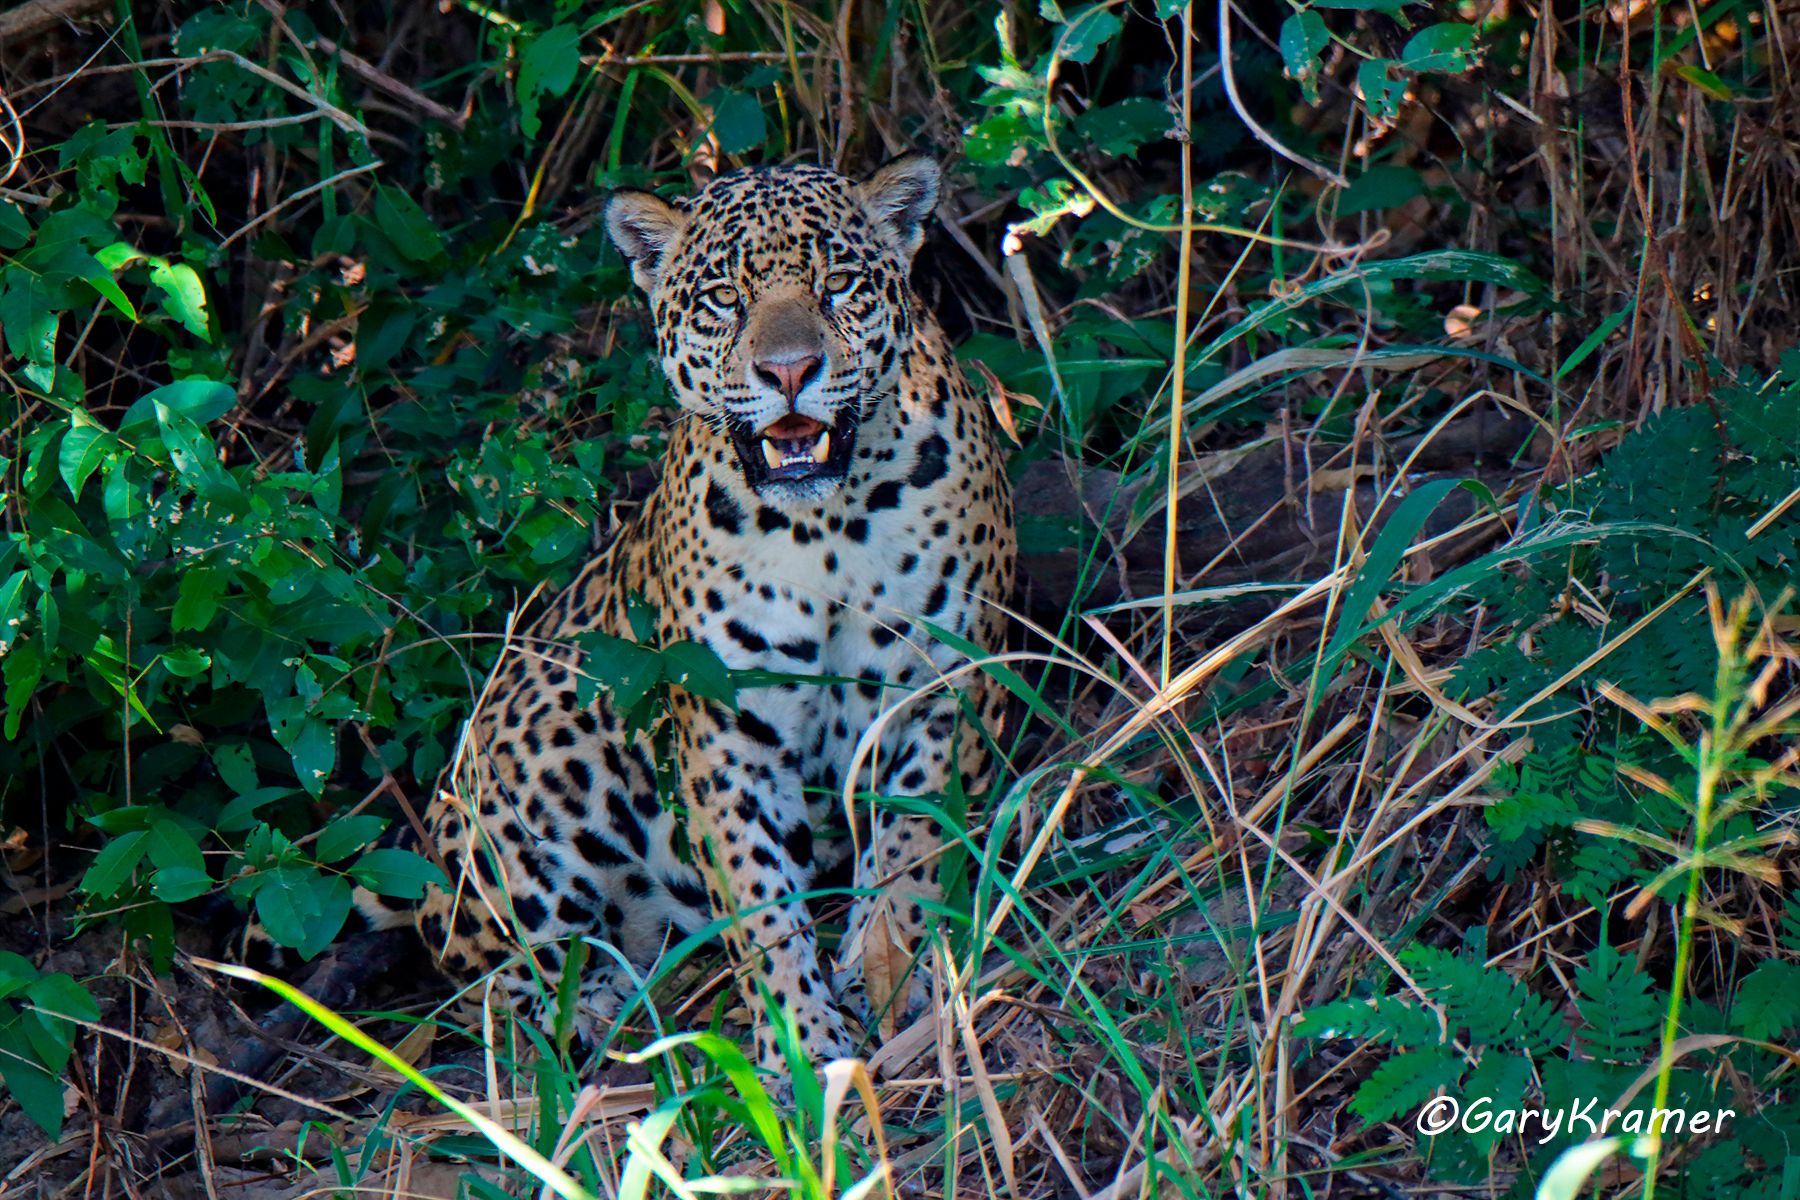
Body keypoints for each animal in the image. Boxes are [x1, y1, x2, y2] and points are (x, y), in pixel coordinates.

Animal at [376, 155, 1015, 1071]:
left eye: (839, 285)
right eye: (722, 296)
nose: (790, 372)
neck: (826, 525)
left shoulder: (943, 690)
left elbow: (910, 851)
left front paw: (886, 975)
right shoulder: (727, 732)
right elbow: (758, 903)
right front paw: (800, 1050)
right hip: (529, 755)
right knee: (486, 972)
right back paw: (590, 1011)